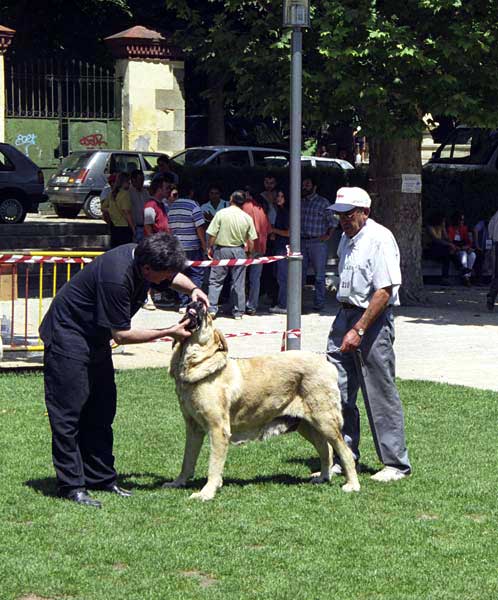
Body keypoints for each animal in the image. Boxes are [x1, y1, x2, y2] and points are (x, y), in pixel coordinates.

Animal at [165, 302, 360, 500]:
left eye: (208, 317)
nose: (197, 302)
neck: (191, 365)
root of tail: (328, 365)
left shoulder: (218, 429)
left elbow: (213, 465)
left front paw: (207, 492)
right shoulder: (193, 428)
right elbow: (187, 460)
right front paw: (178, 482)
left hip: (325, 422)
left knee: (345, 452)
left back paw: (352, 485)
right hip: (308, 426)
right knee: (326, 450)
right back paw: (322, 477)